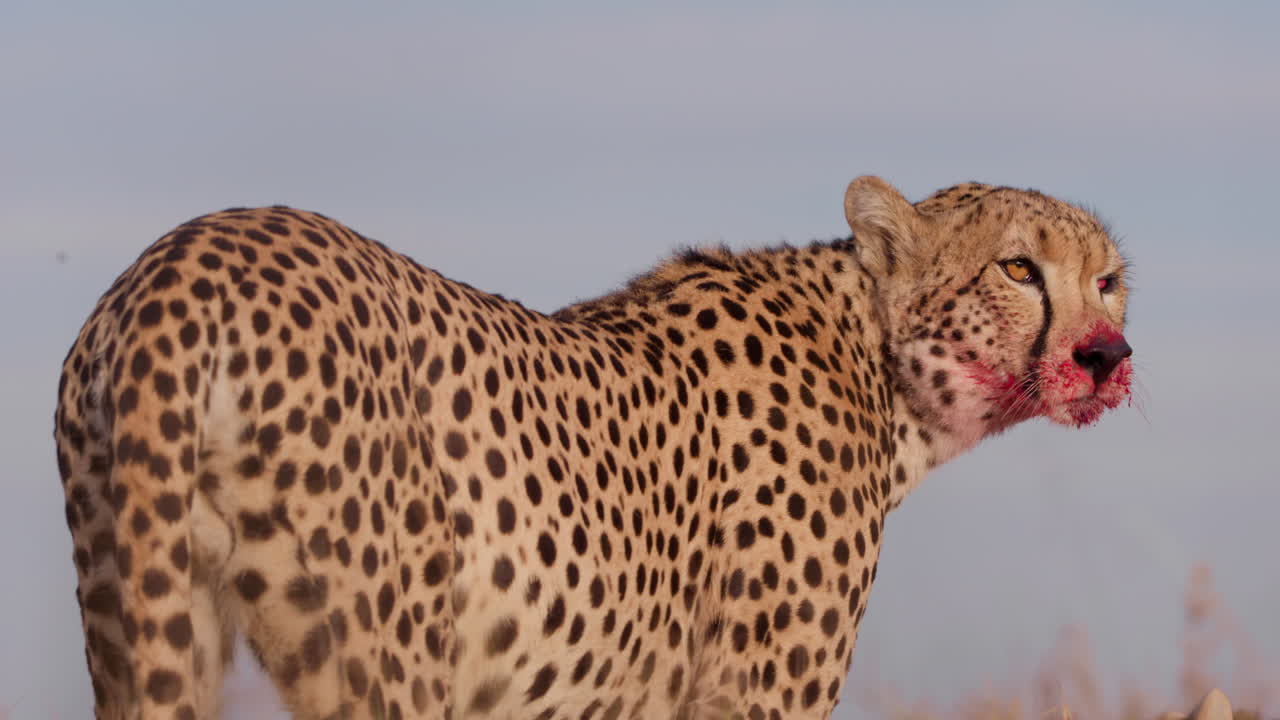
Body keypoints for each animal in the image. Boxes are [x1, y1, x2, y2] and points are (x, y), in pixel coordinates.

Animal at [54, 175, 1133, 720]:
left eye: (1109, 282)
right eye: (1018, 270)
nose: (1105, 355)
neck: (879, 365)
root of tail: (187, 256)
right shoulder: (751, 697)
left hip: (140, 621)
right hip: (383, 659)